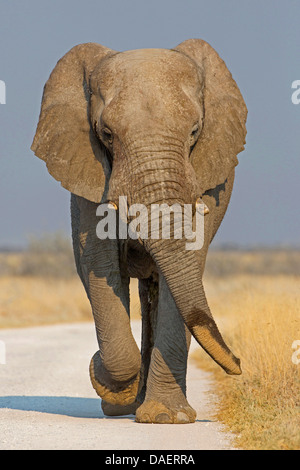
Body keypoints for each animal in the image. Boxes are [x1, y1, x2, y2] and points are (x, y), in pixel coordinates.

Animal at [31, 38, 247, 424]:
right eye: (106, 134)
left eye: (195, 131)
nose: (238, 364)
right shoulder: (88, 171)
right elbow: (99, 264)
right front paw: (106, 381)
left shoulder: (210, 177)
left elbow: (187, 265)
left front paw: (166, 418)